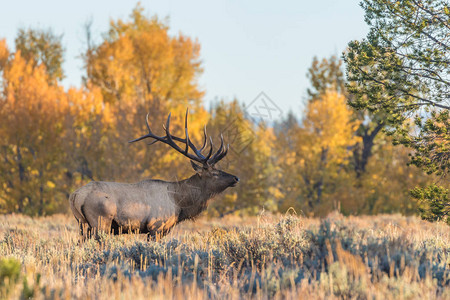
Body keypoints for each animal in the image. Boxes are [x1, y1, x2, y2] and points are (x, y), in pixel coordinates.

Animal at [68, 109, 237, 239]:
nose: (235, 178)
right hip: (101, 221)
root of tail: (76, 195)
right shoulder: (156, 226)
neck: (179, 203)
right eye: (214, 173)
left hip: (82, 223)